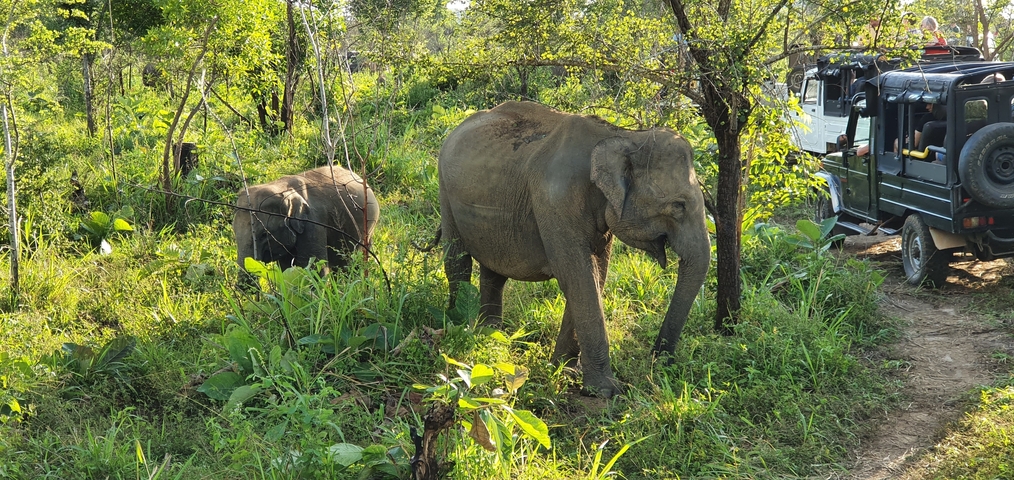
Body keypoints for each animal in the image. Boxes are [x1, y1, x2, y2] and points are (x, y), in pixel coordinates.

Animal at [438, 101, 710, 398]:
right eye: (678, 205)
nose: (658, 364)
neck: (624, 136)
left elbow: (596, 274)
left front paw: (564, 370)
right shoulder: (555, 201)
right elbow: (578, 276)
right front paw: (605, 391)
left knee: (494, 271)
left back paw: (490, 335)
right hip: (445, 191)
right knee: (457, 259)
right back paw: (459, 325)